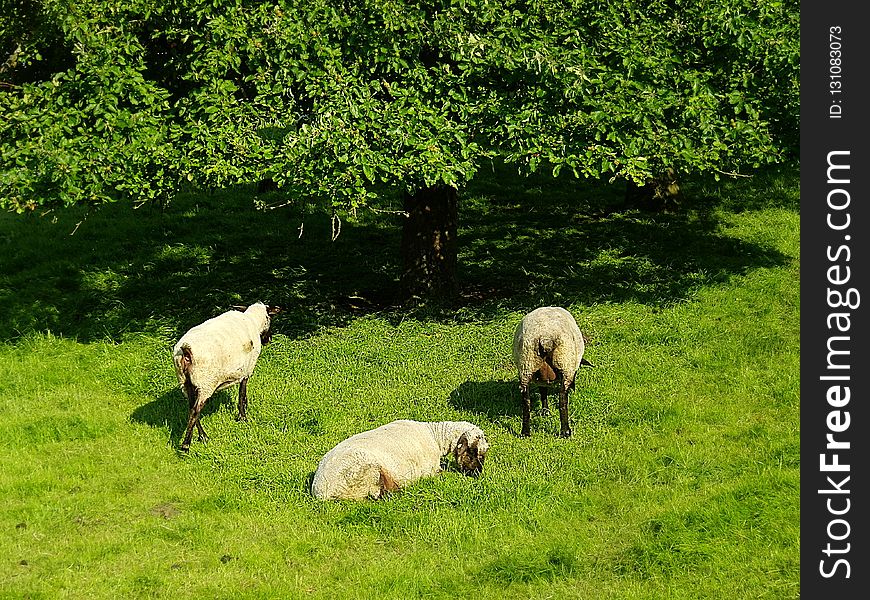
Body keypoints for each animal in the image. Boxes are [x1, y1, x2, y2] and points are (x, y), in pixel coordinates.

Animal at [171, 304, 278, 450]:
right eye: (269, 318)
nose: (269, 339)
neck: (253, 321)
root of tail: (185, 351)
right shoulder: (247, 370)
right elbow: (242, 394)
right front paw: (243, 417)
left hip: (185, 383)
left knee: (191, 409)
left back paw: (202, 436)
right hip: (205, 383)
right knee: (195, 411)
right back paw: (187, 444)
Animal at [314, 418, 490, 502]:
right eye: (473, 451)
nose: (476, 474)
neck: (436, 436)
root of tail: (322, 493)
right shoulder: (431, 470)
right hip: (368, 474)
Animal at [510, 308, 592, 438]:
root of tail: (545, 337)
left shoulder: (540, 379)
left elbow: (543, 391)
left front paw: (545, 411)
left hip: (527, 364)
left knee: (526, 400)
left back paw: (525, 432)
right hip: (565, 362)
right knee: (562, 398)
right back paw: (565, 431)